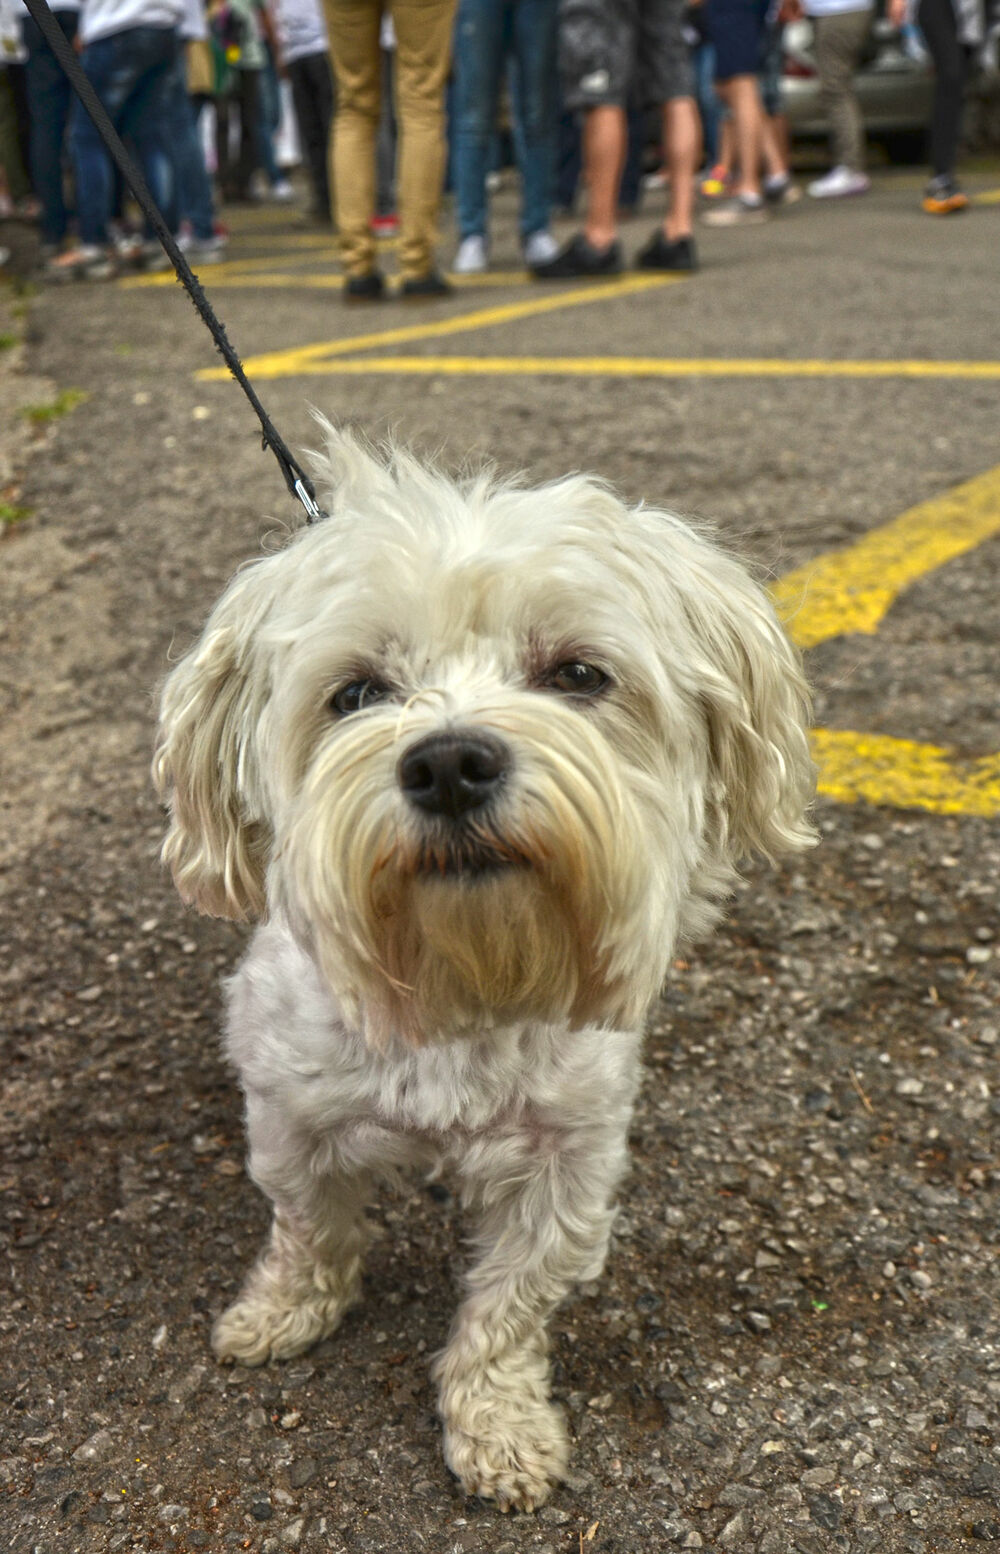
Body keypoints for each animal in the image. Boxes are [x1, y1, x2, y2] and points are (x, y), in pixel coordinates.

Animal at [152, 425, 813, 1504]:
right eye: (356, 693)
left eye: (579, 675)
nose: (450, 762)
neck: (461, 979)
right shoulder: (290, 1113)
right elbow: (308, 1228)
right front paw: (283, 1310)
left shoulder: (570, 1161)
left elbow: (509, 1307)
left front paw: (498, 1424)